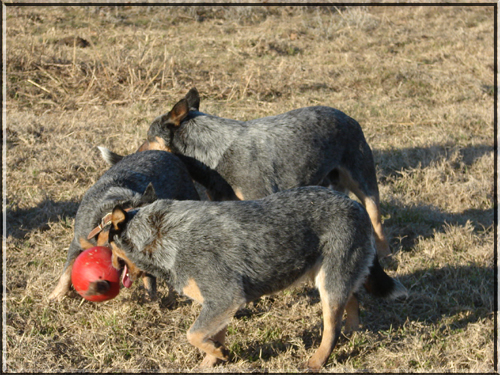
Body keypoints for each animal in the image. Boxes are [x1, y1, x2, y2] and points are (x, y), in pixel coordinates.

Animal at [106, 185, 406, 370]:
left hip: (329, 285)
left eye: (105, 238)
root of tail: (356, 205)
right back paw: (354, 332)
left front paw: (219, 354)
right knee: (353, 299)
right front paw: (211, 362)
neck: (161, 235)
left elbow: (193, 334)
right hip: (335, 275)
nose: (107, 264)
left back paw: (315, 362)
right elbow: (212, 336)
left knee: (331, 330)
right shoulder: (220, 305)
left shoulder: (225, 296)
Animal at [139, 88, 392, 260]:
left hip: (363, 178)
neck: (212, 153)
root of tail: (348, 117)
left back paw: (384, 254)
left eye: (148, 137)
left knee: (375, 218)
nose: (135, 151)